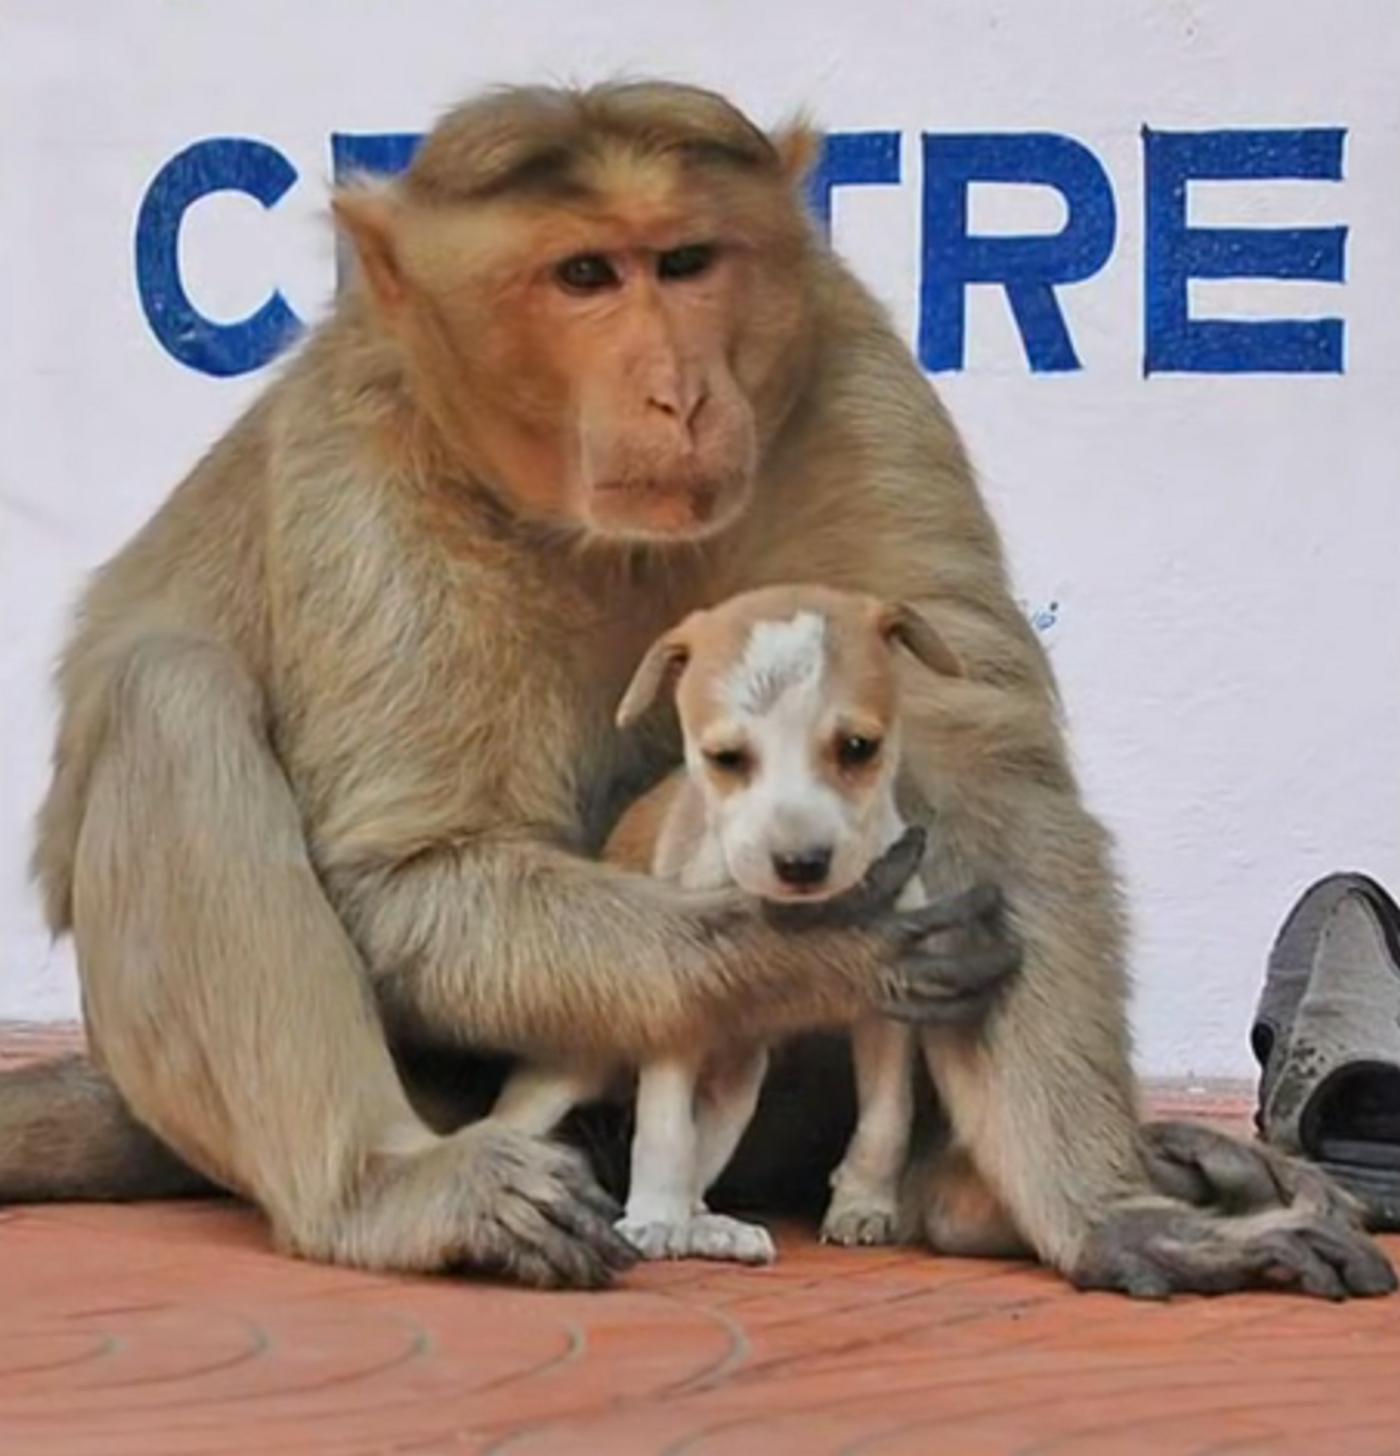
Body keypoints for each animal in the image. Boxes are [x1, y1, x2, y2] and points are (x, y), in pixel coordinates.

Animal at [491, 579, 960, 1263]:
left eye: (858, 747)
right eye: (726, 757)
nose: (801, 864)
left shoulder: (886, 1015)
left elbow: (886, 1116)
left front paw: (863, 1204)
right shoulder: (674, 1016)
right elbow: (662, 1132)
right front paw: (650, 1220)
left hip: (737, 1087)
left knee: (701, 1168)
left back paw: (711, 1229)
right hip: (565, 1072)